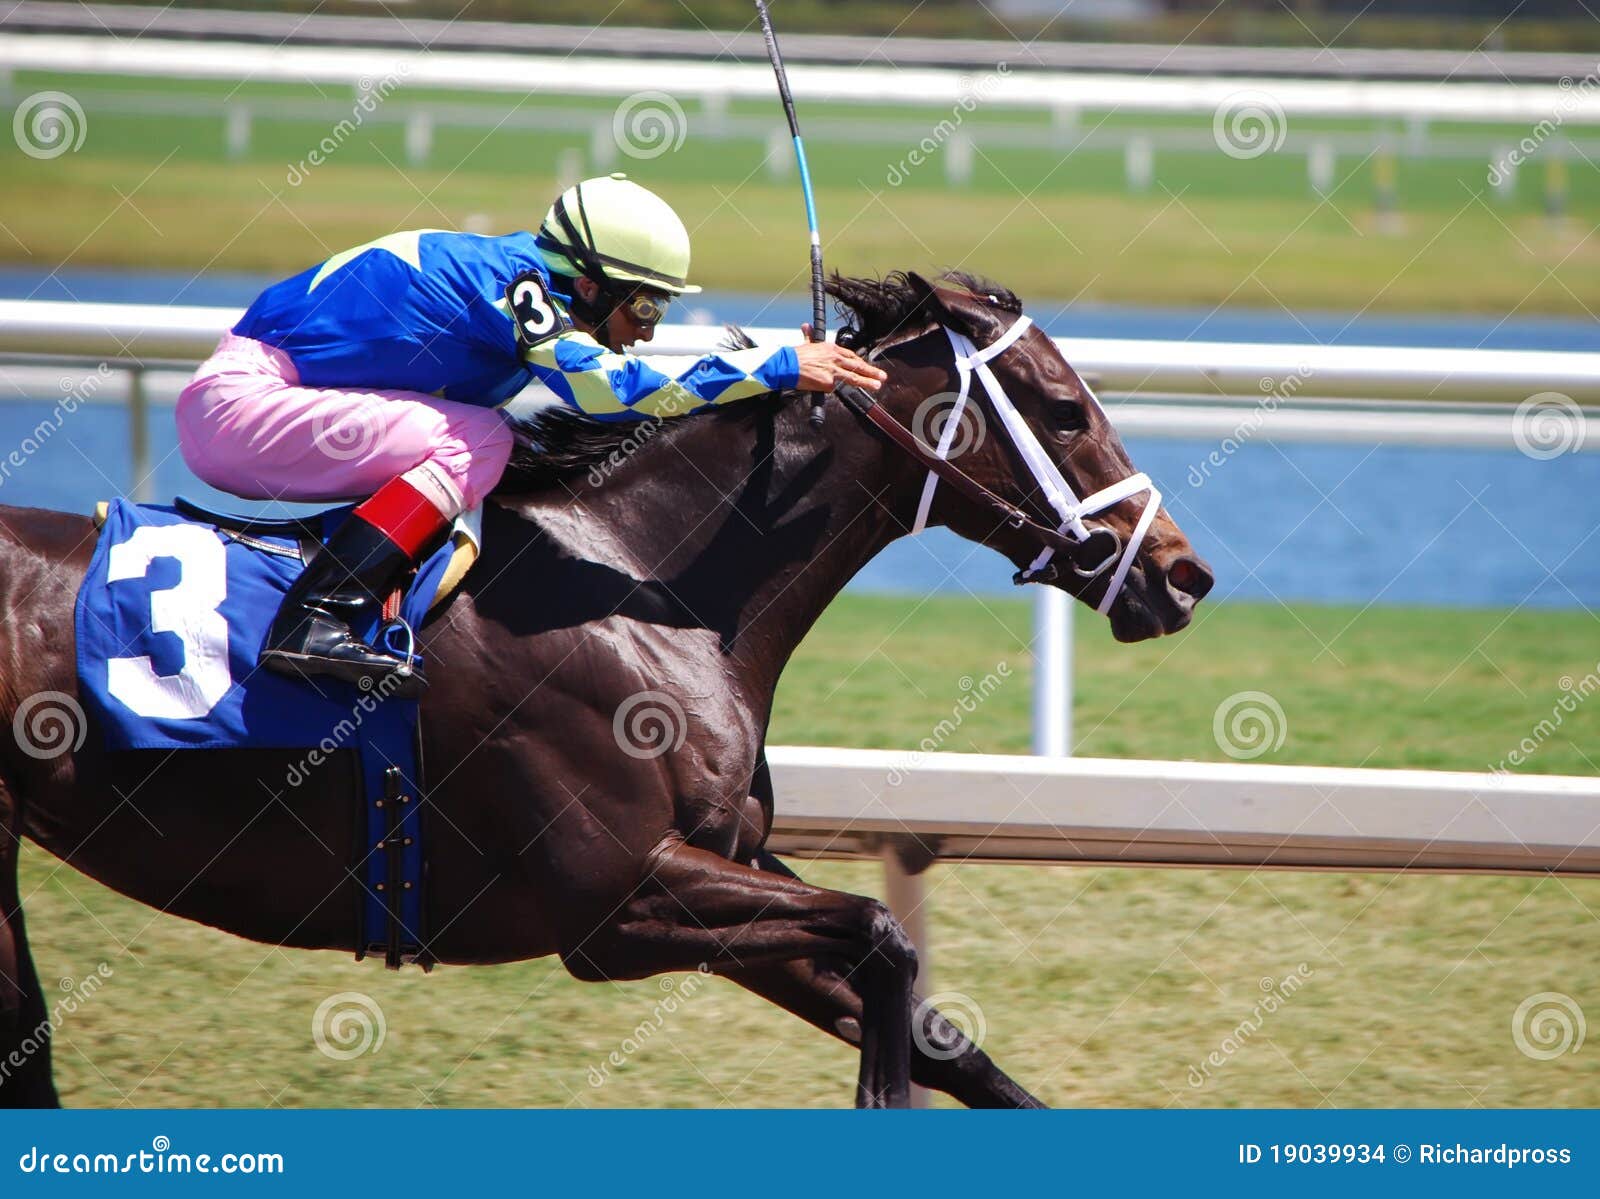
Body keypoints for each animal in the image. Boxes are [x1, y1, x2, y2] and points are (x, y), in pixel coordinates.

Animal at [0, 268, 1203, 1101]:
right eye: (1064, 409)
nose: (1183, 573)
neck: (644, 588)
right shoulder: (613, 903)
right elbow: (880, 932)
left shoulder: (719, 863)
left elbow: (940, 1033)